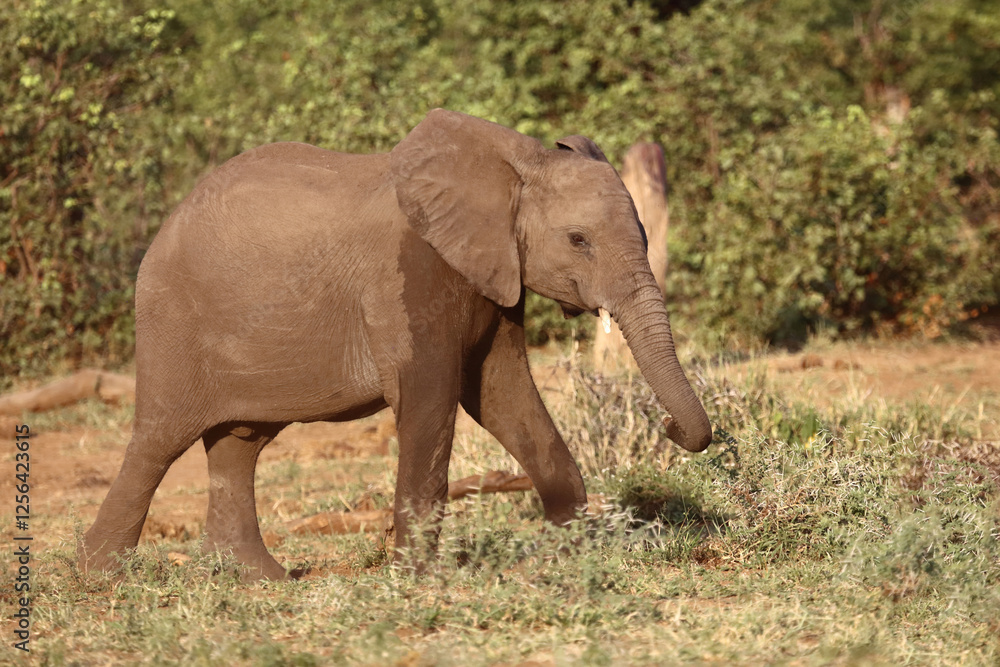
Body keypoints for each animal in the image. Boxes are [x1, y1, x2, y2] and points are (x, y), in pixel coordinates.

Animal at [78, 109, 713, 580]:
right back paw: (101, 577)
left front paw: (571, 549)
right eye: (579, 240)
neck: (512, 161)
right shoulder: (411, 274)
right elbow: (432, 399)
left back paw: (262, 579)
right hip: (172, 321)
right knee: (158, 441)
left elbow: (501, 393)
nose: (667, 427)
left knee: (239, 445)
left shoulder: (493, 274)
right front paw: (417, 578)